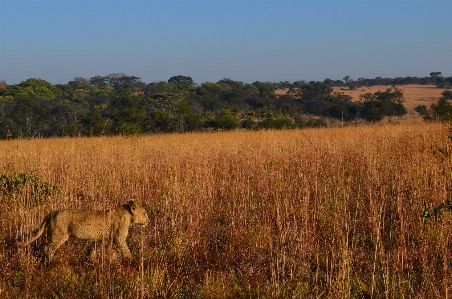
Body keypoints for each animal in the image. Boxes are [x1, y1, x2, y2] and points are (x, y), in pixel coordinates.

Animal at [19, 202, 150, 262]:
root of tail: (52, 212)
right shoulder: (119, 237)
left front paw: (91, 261)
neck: (129, 216)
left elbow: (93, 249)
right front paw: (132, 261)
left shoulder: (99, 239)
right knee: (48, 247)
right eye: (144, 213)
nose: (148, 221)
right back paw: (52, 261)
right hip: (59, 234)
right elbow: (126, 250)